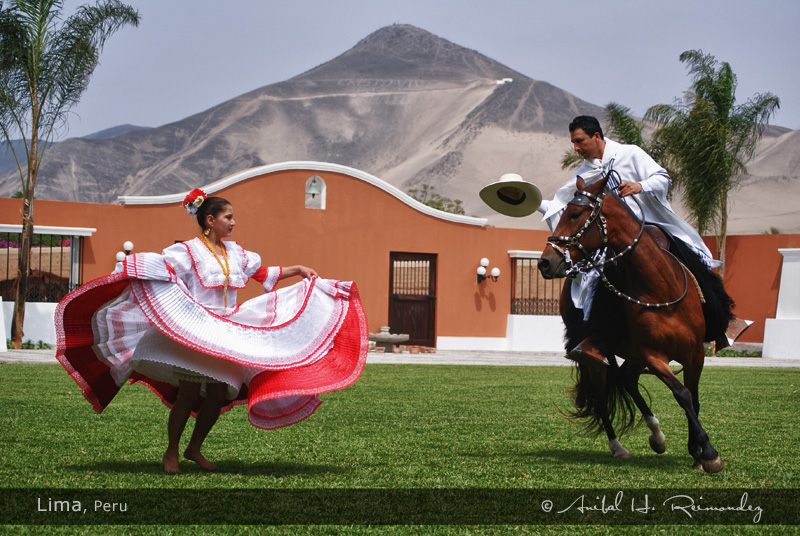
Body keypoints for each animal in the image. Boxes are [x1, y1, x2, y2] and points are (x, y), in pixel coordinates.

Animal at [536, 173, 732, 474]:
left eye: (576, 213)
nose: (546, 262)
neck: (660, 289)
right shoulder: (653, 355)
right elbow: (682, 394)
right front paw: (708, 453)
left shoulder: (695, 353)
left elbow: (694, 398)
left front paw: (699, 453)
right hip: (601, 360)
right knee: (603, 395)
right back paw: (619, 446)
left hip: (634, 356)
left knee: (627, 379)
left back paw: (657, 437)